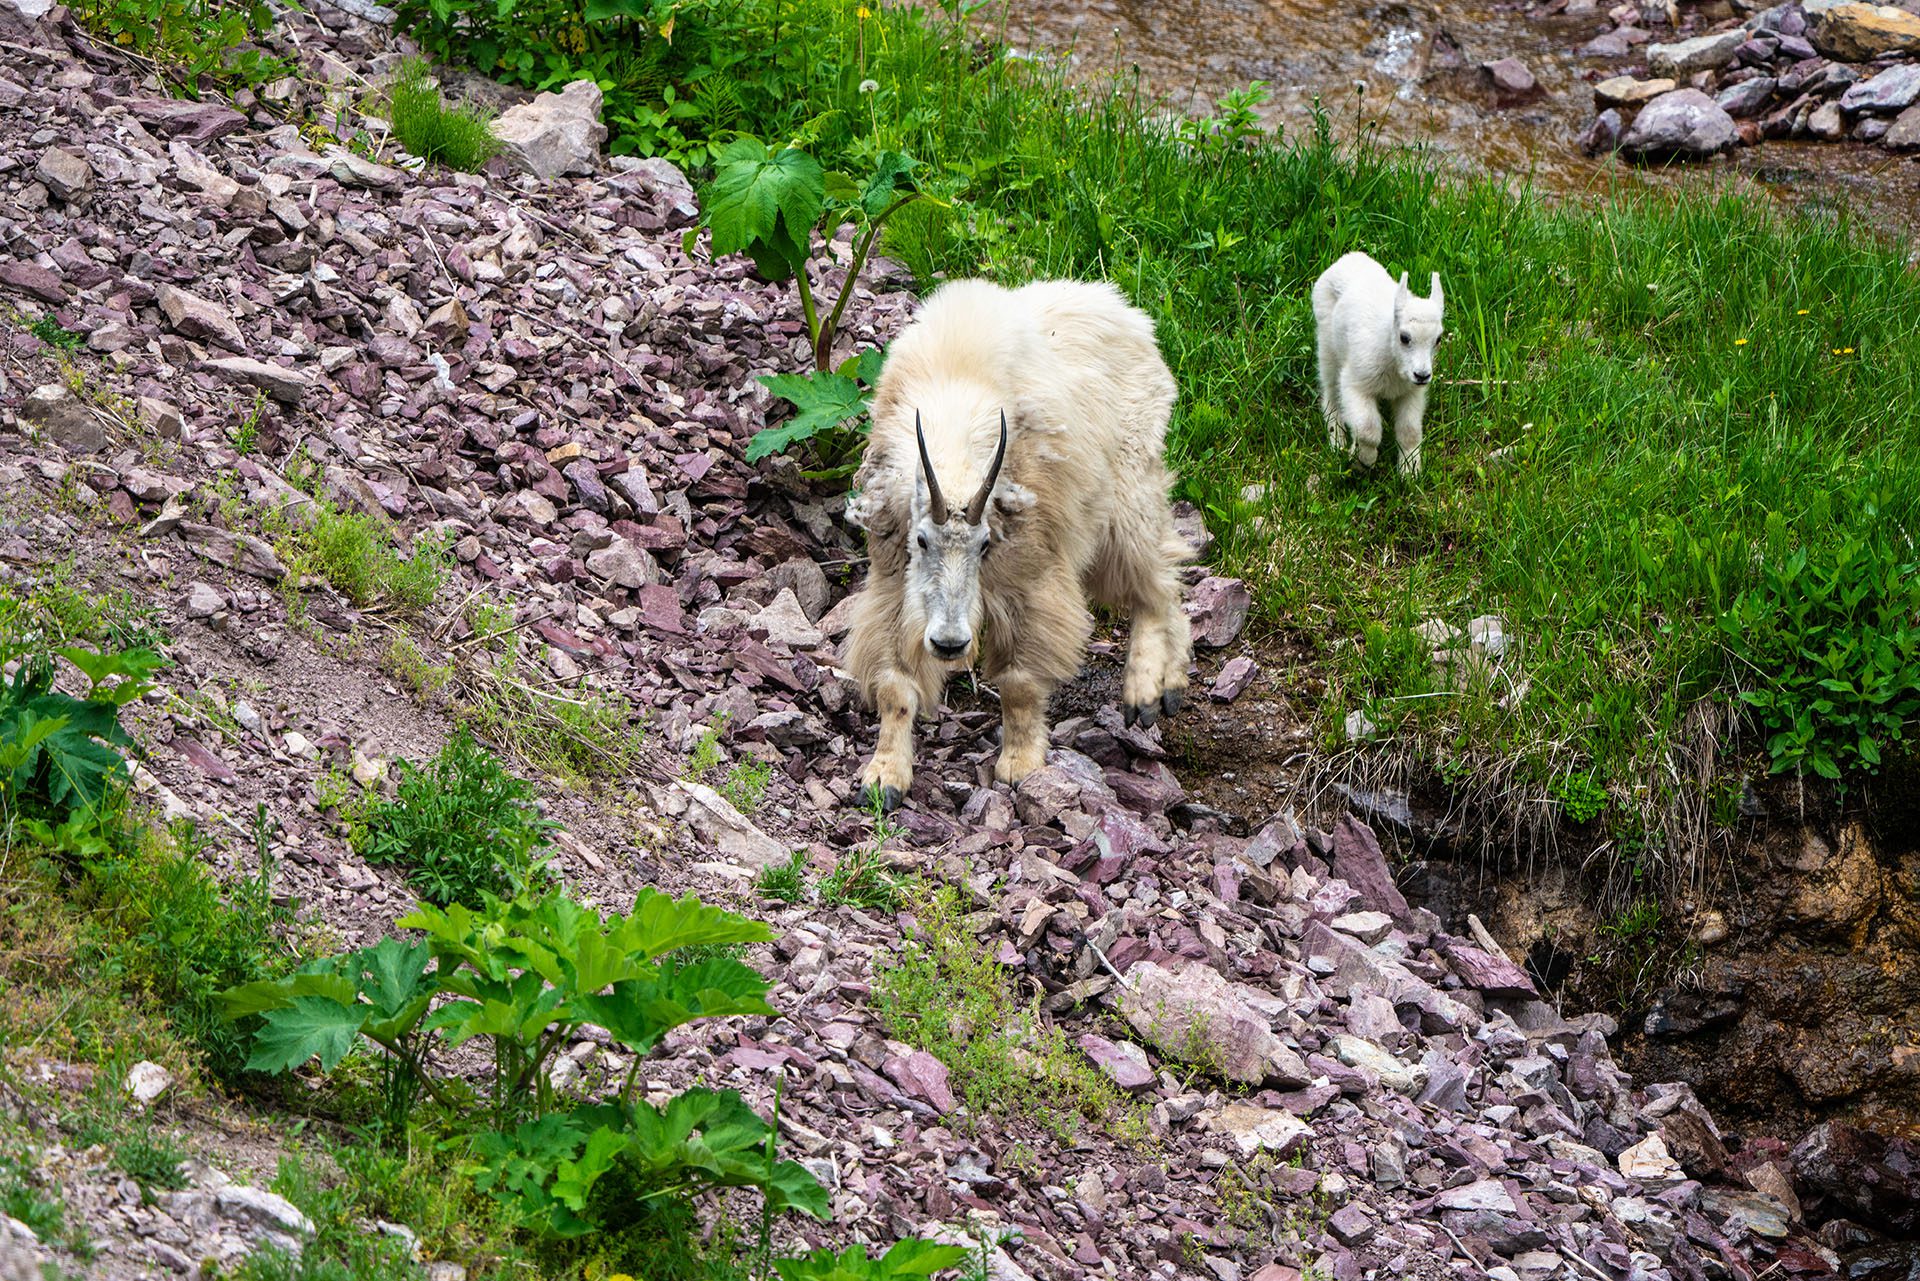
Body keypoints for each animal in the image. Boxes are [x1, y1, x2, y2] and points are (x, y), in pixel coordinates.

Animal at [842, 278, 1193, 811]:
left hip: (1126, 491)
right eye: (919, 539)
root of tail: (1127, 313)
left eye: (986, 545)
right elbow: (895, 685)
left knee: (1158, 576)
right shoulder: (890, 578)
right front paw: (884, 778)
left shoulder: (1031, 573)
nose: (949, 644)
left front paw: (1021, 764)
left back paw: (1150, 691)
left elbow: (1020, 682)